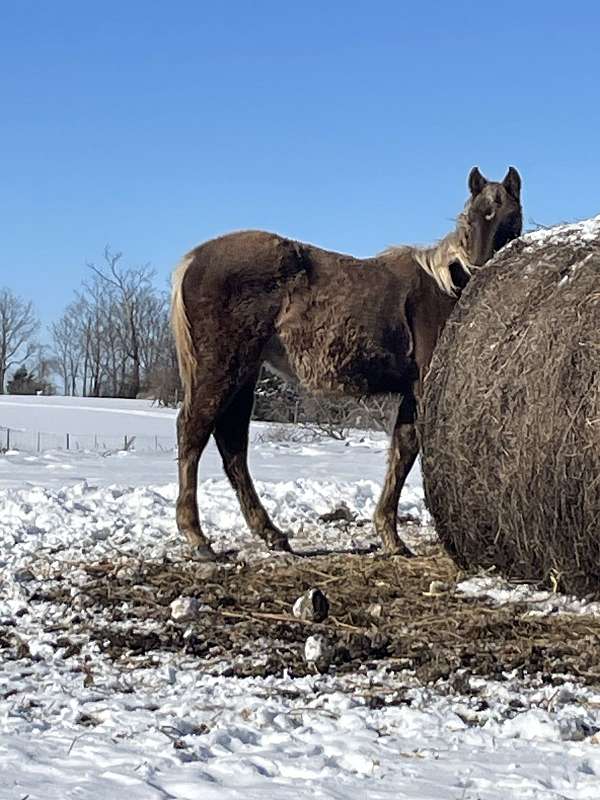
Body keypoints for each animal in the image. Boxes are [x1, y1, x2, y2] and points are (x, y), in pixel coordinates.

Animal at [171, 166, 524, 560]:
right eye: (470, 220)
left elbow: (401, 451)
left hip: (244, 375)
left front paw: (390, 535)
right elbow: (409, 452)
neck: (445, 286)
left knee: (232, 446)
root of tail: (194, 258)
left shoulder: (410, 393)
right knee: (193, 433)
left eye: (510, 217)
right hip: (221, 370)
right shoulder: (422, 389)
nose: (479, 269)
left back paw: (271, 534)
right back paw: (197, 536)